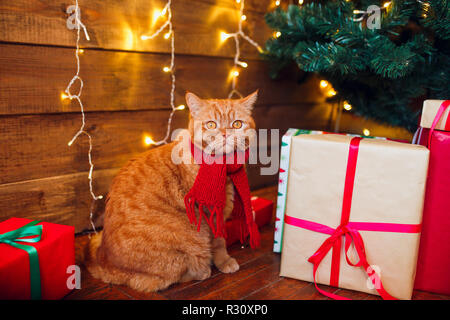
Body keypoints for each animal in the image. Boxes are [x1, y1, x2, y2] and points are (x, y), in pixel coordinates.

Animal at [85, 90, 258, 292]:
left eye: (237, 124)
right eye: (211, 124)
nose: (225, 134)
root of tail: (103, 259)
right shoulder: (211, 213)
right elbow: (219, 241)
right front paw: (224, 261)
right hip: (189, 241)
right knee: (162, 279)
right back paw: (202, 271)